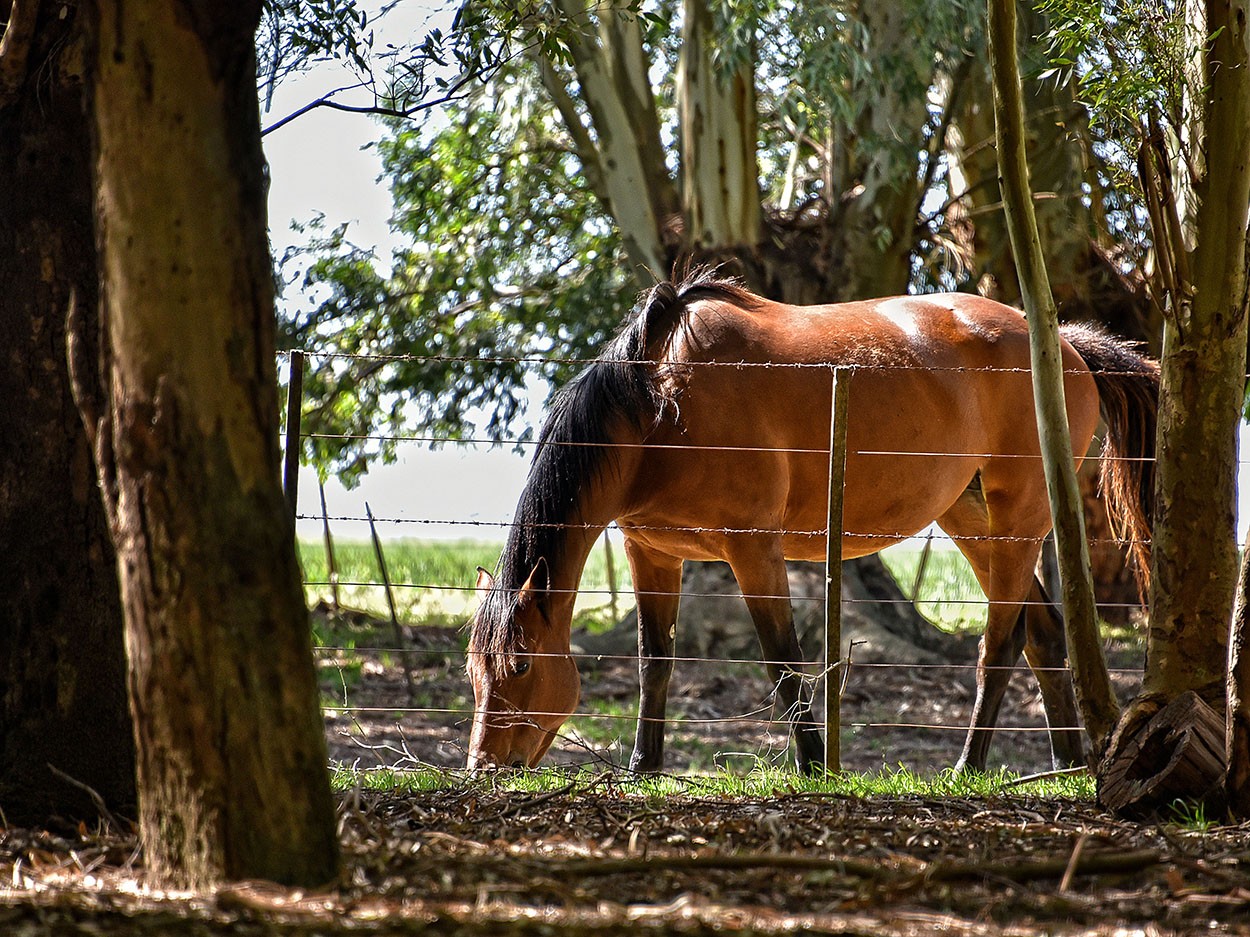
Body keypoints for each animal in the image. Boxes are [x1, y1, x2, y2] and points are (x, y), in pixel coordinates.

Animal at [470, 269, 1160, 779]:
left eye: (522, 667)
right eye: (475, 670)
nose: (485, 765)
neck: (658, 404)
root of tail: (1064, 345)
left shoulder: (752, 551)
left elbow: (784, 663)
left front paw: (814, 766)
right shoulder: (652, 552)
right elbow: (653, 660)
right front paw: (644, 766)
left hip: (1019, 515)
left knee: (999, 645)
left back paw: (969, 765)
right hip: (971, 516)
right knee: (1041, 634)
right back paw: (1064, 764)